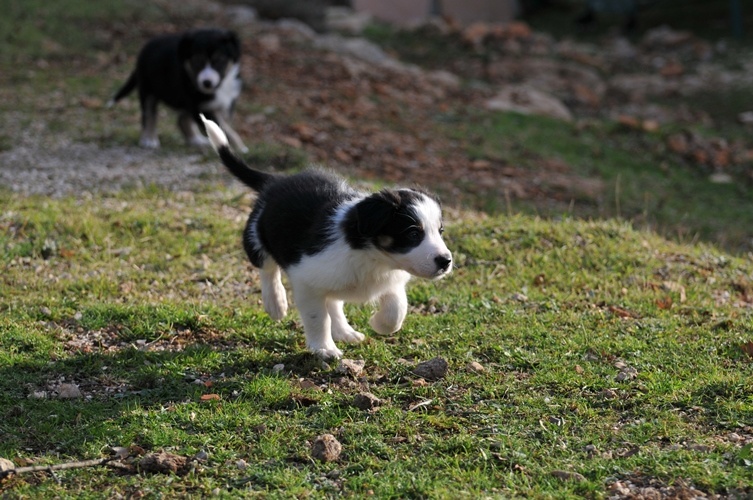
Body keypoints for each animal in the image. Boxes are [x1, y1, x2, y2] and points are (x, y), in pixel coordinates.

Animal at [108, 29, 247, 152]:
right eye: (197, 61)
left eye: (219, 60)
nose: (206, 82)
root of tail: (147, 45)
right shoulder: (200, 106)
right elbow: (223, 128)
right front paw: (237, 148)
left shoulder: (228, 103)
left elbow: (226, 126)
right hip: (148, 88)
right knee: (148, 115)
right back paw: (149, 140)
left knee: (181, 119)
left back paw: (195, 139)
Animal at [201, 115, 453, 359]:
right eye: (413, 233)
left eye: (440, 231)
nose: (446, 261)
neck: (374, 257)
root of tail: (275, 181)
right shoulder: (306, 279)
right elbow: (317, 317)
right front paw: (324, 349)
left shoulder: (391, 279)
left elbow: (397, 308)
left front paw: (379, 324)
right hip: (256, 233)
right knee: (267, 267)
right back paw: (276, 303)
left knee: (333, 301)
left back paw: (345, 331)